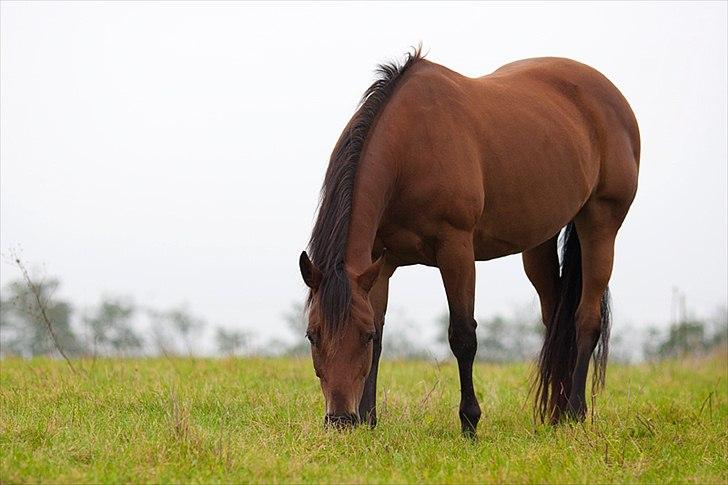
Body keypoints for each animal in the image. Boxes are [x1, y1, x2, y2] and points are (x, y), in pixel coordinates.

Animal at [298, 48, 639, 436]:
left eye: (362, 337)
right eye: (312, 335)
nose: (340, 420)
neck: (411, 148)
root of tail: (610, 96)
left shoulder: (456, 250)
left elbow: (462, 335)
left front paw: (470, 422)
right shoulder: (378, 262)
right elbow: (384, 332)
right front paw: (371, 420)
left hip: (600, 221)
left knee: (586, 320)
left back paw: (575, 413)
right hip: (539, 239)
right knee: (556, 319)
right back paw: (555, 416)